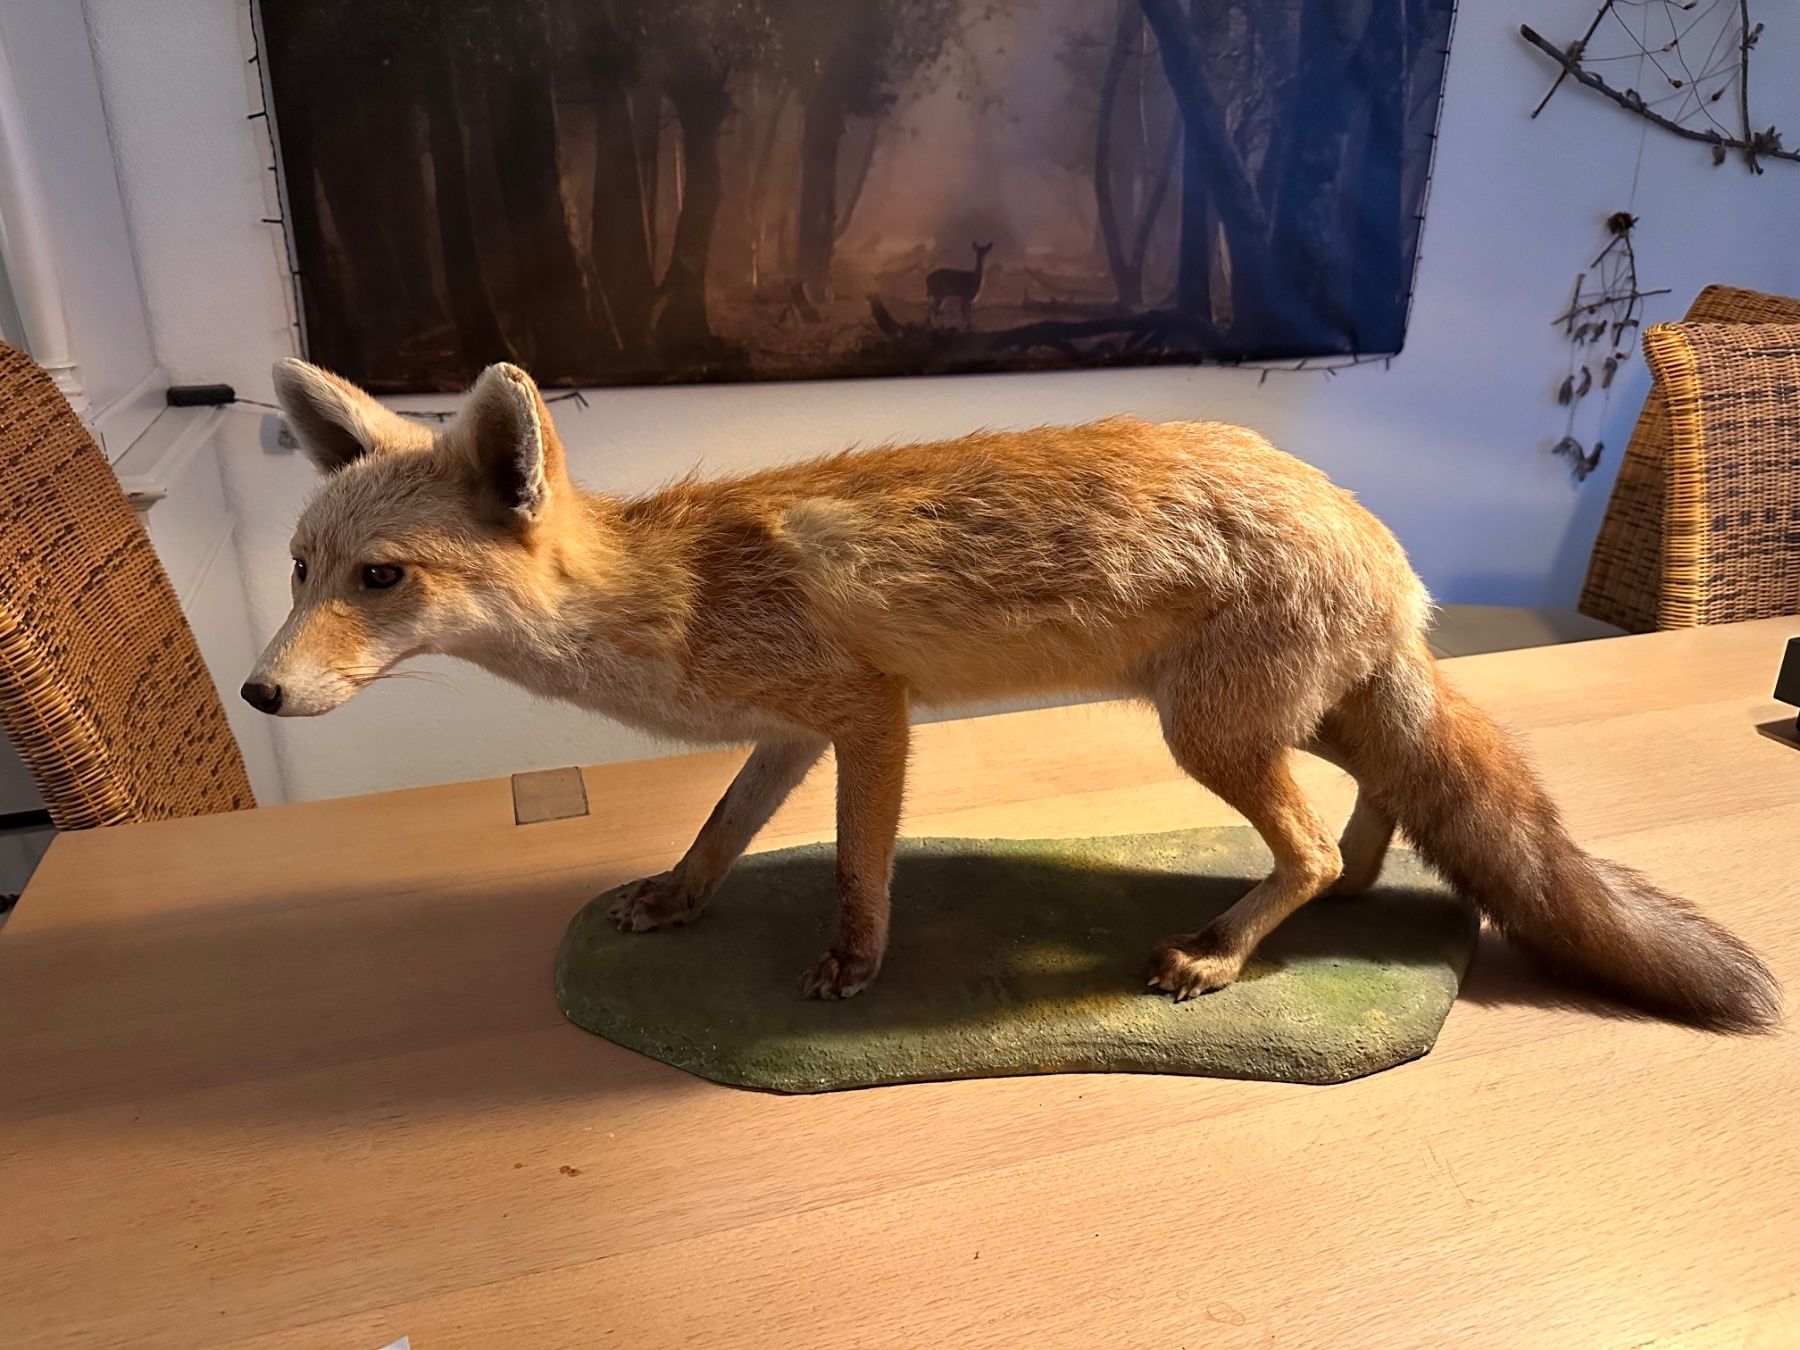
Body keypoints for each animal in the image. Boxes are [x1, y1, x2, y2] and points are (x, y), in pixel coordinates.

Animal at [246, 357, 1779, 1028]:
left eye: (381, 577)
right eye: (301, 566)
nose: (259, 690)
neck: (668, 591)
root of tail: (1373, 535)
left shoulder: (867, 717)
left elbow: (858, 865)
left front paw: (852, 966)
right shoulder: (789, 732)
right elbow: (721, 831)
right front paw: (679, 899)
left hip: (1210, 733)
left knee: (1303, 843)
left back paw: (1223, 952)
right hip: (1291, 719)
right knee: (1375, 815)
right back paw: (1349, 889)